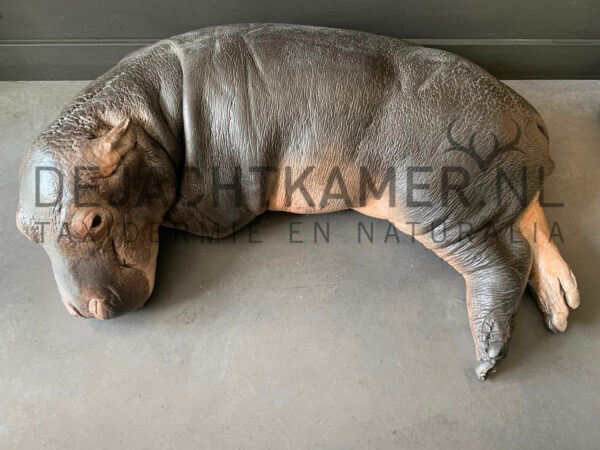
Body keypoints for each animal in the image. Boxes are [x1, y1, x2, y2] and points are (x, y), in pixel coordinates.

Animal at [17, 22, 576, 378]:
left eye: (93, 221)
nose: (82, 311)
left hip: (432, 197)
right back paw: (561, 309)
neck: (145, 115)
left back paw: (487, 358)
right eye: (26, 232)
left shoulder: (216, 202)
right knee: (532, 231)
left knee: (503, 263)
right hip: (490, 197)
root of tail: (529, 116)